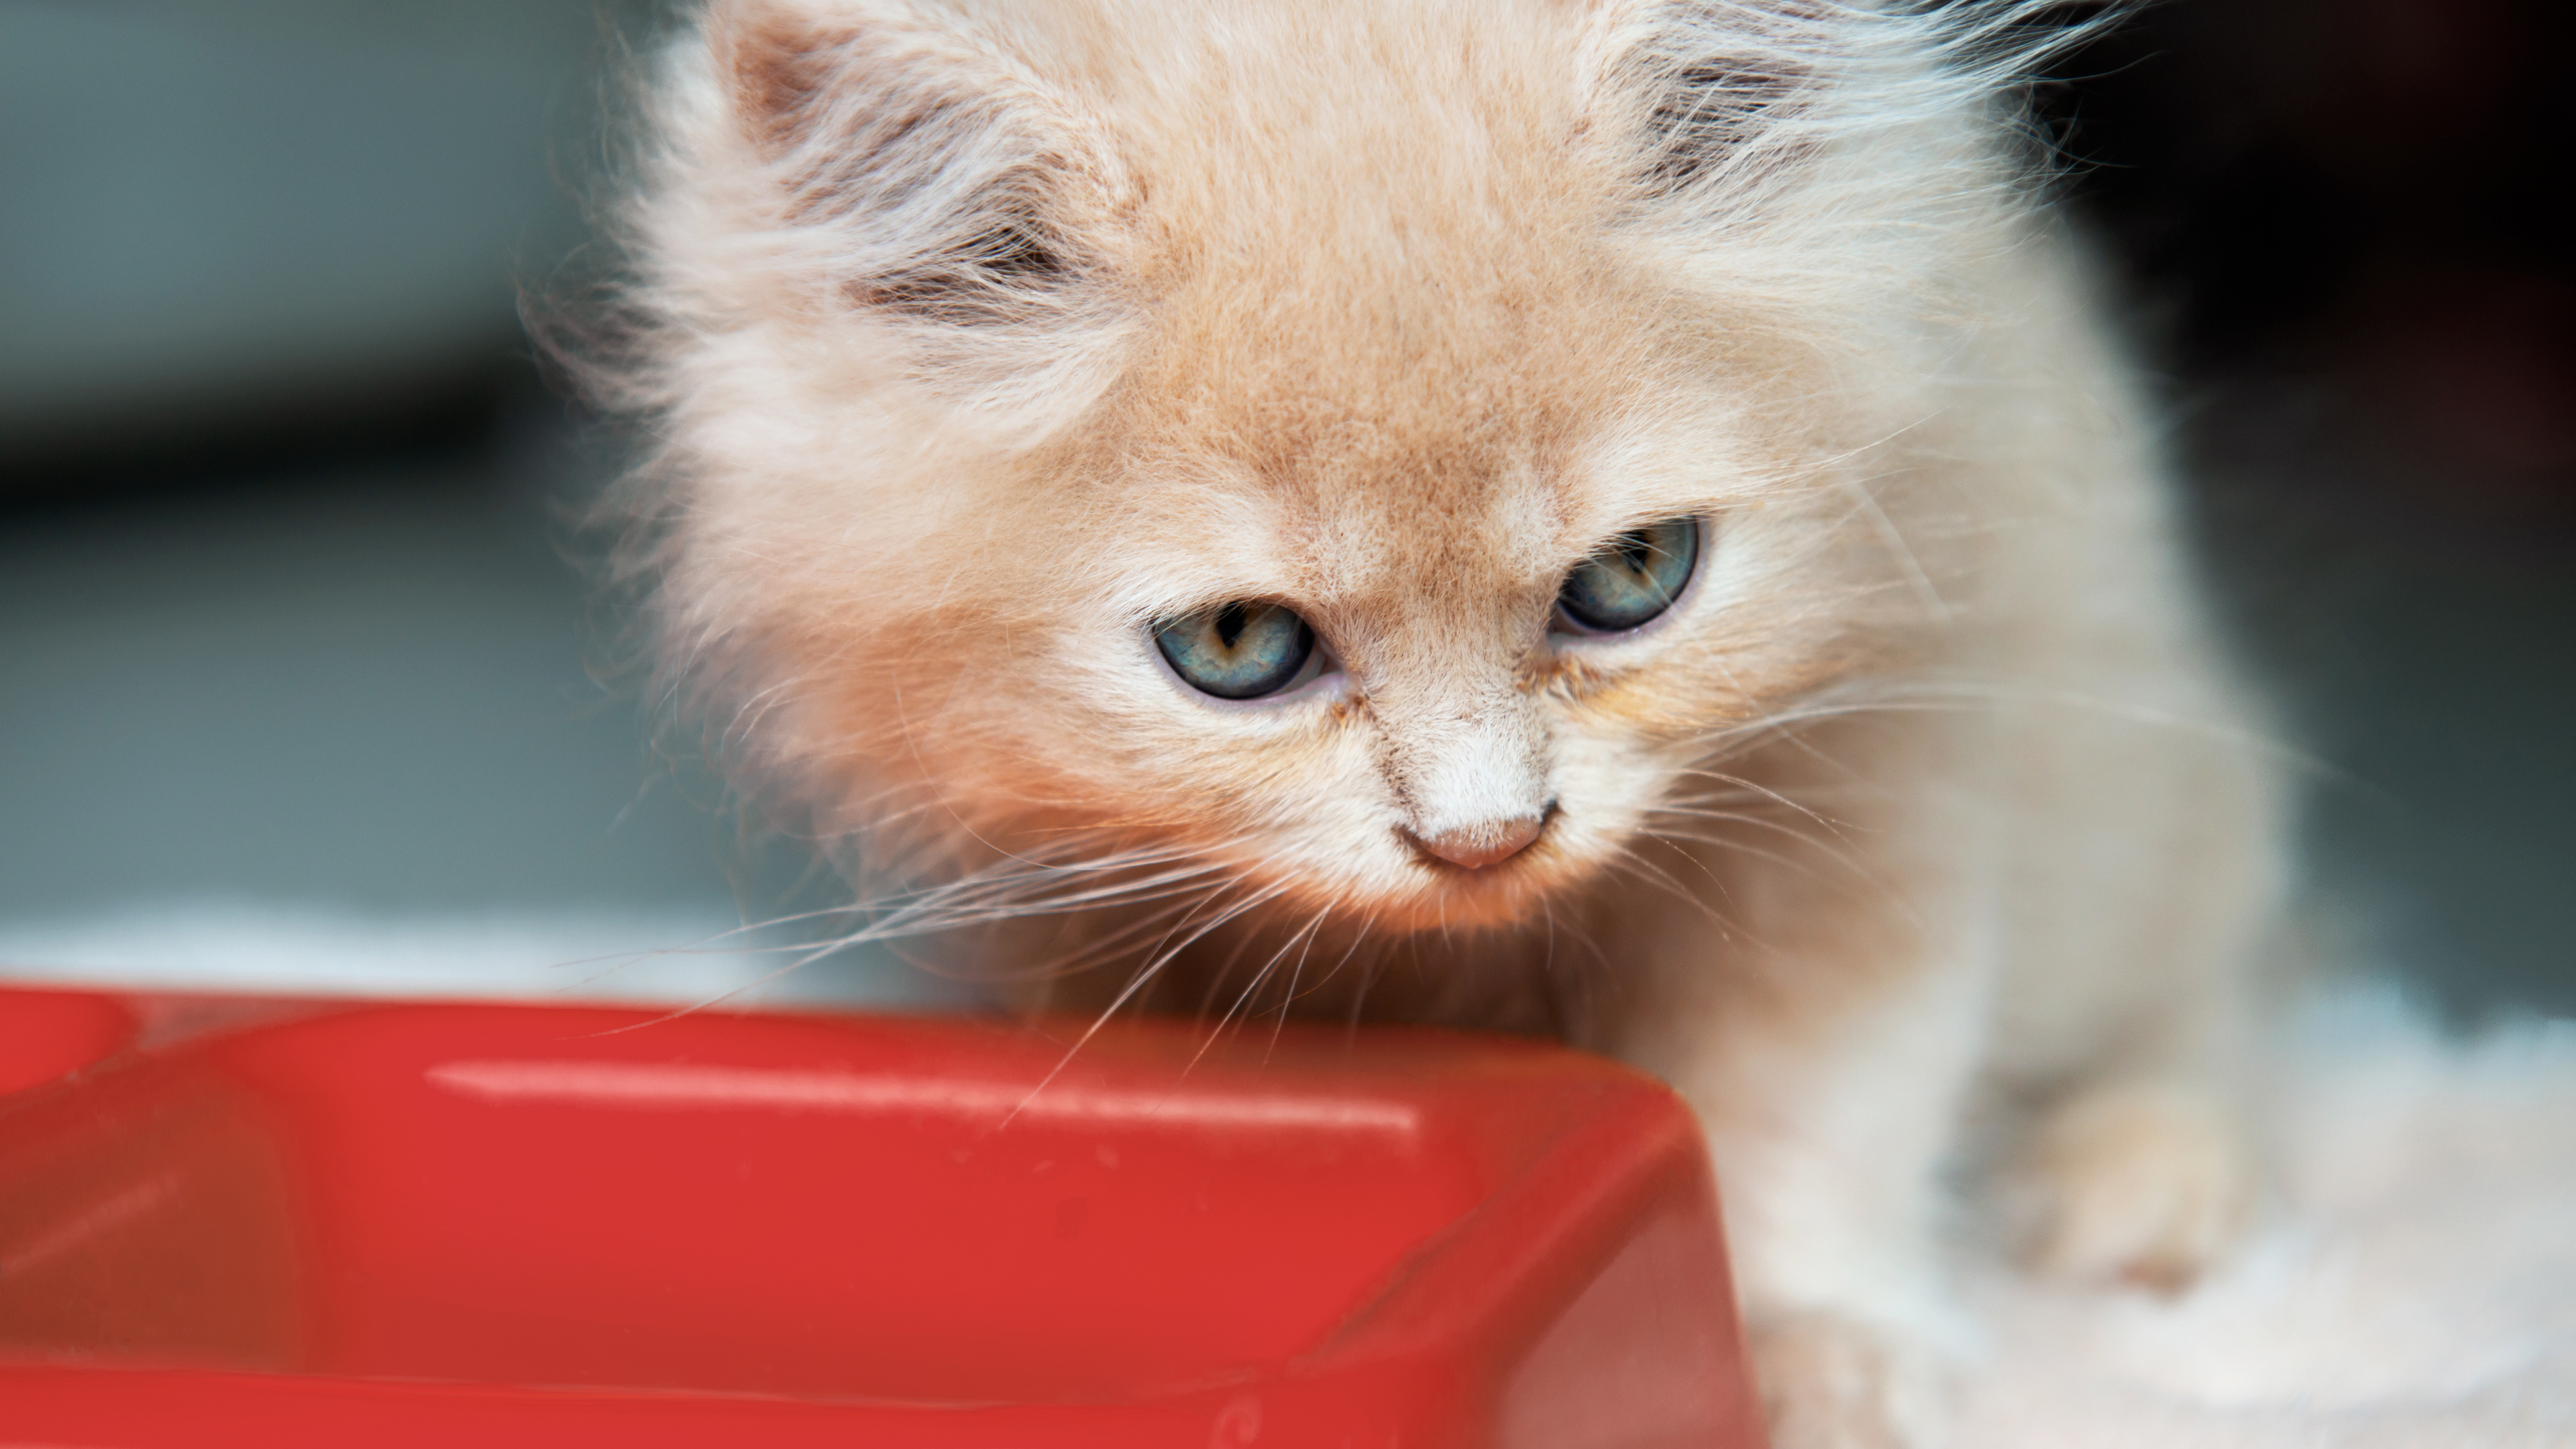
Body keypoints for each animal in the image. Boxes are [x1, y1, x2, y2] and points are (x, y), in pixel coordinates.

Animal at [602, 5, 2298, 1433]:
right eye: (1239, 647)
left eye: (1630, 578)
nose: (1485, 836)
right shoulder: (1063, 900)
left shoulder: (1876, 786)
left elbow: (1812, 1107)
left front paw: (1810, 1353)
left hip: (2148, 773)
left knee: (2222, 974)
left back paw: (2135, 1181)